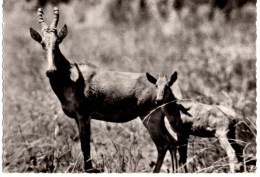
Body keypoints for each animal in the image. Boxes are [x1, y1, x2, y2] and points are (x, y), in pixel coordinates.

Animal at [29, 7, 181, 172]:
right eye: (43, 43)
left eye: (58, 42)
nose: (51, 71)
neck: (72, 78)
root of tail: (164, 88)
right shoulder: (77, 117)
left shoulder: (84, 115)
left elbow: (85, 147)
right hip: (158, 119)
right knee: (172, 143)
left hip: (149, 118)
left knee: (163, 145)